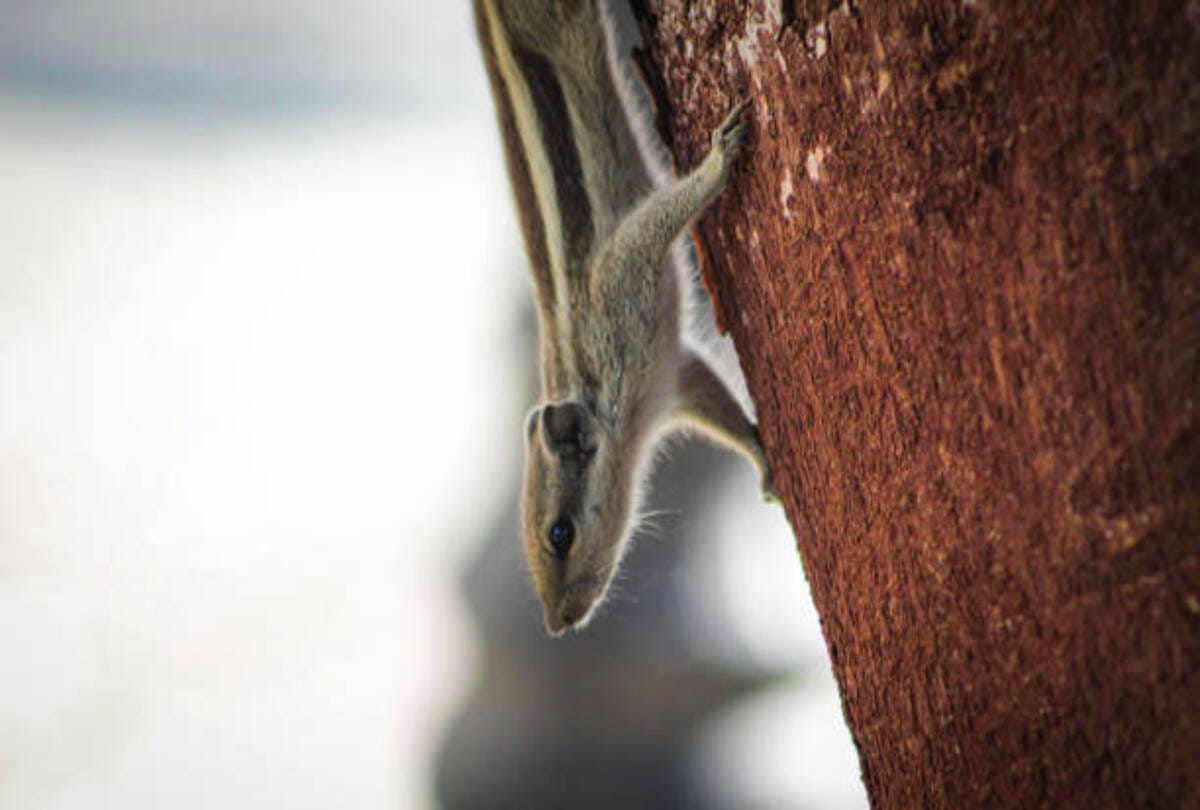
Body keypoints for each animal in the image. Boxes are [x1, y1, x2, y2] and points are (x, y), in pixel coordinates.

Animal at [473, 0, 775, 636]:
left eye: (560, 533)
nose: (557, 625)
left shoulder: (623, 286)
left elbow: (655, 221)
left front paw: (716, 163)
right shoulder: (677, 376)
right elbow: (721, 410)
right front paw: (763, 464)